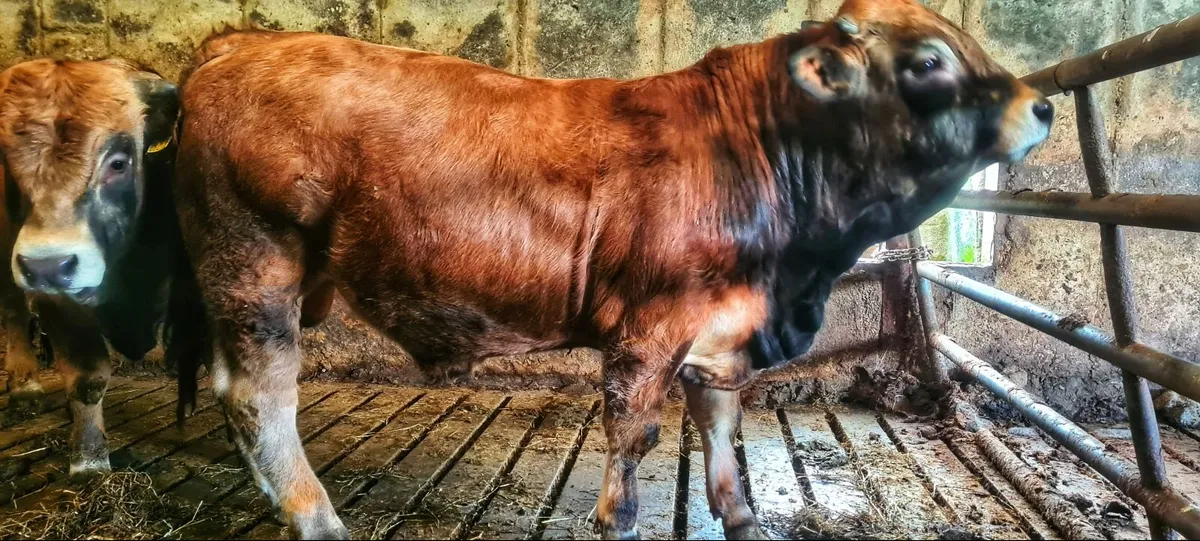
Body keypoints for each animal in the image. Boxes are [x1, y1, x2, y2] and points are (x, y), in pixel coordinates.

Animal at [0, 59, 180, 477]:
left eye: (118, 163)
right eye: (6, 164)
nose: (47, 264)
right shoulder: (59, 299)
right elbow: (87, 376)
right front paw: (89, 459)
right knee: (13, 310)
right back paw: (24, 385)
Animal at [169, 0, 1052, 538]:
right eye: (930, 61)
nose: (1040, 105)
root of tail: (243, 40)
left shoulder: (724, 336)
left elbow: (723, 430)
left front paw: (741, 518)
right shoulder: (649, 329)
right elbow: (635, 433)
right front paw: (617, 515)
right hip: (254, 265)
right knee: (258, 395)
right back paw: (317, 516)